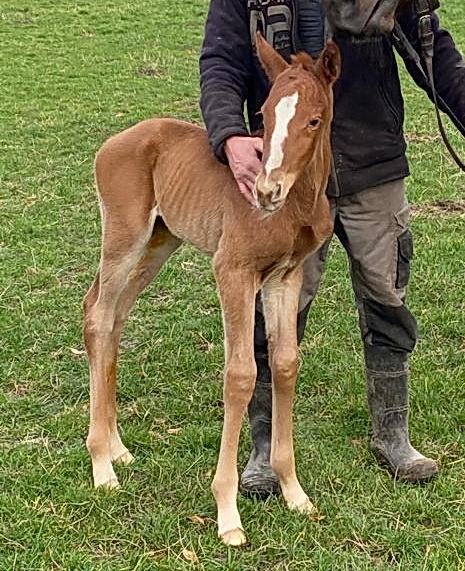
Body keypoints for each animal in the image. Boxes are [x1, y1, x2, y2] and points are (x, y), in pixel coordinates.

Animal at [82, 34, 338, 544]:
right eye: (265, 113)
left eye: (313, 119)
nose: (266, 191)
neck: (294, 207)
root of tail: (113, 142)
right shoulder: (233, 271)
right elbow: (240, 374)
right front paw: (228, 514)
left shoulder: (285, 276)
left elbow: (284, 364)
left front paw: (294, 492)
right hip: (124, 237)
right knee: (99, 316)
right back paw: (102, 465)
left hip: (161, 241)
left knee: (111, 315)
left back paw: (117, 448)